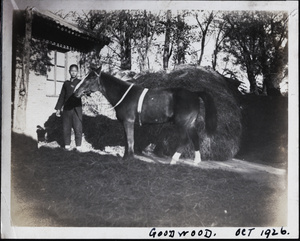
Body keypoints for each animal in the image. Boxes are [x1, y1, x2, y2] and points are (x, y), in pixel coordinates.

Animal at [73, 66, 217, 164]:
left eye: (91, 77)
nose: (76, 91)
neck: (124, 95)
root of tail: (194, 93)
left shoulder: (129, 121)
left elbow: (130, 140)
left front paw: (130, 158)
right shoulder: (125, 123)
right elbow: (127, 140)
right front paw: (125, 157)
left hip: (182, 123)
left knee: (185, 140)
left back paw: (173, 160)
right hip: (190, 123)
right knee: (195, 138)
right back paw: (196, 161)